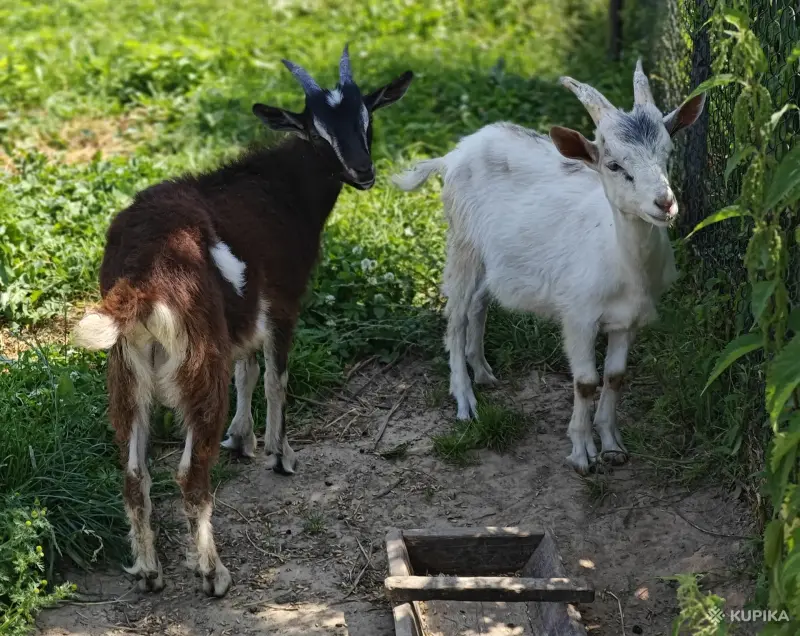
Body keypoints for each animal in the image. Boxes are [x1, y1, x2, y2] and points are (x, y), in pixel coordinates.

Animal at [72, 46, 413, 596]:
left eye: (368, 118)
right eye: (317, 133)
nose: (364, 172)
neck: (279, 191)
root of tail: (143, 276)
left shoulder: (243, 315)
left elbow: (247, 370)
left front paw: (242, 437)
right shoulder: (284, 302)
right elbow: (275, 377)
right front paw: (279, 453)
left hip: (127, 368)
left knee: (133, 472)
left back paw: (149, 571)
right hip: (195, 359)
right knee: (190, 474)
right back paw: (213, 573)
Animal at [392, 60, 704, 475]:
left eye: (668, 153)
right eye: (614, 164)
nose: (664, 202)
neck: (622, 264)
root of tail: (455, 153)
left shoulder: (628, 320)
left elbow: (615, 377)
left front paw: (612, 445)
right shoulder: (578, 316)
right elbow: (586, 381)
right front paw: (582, 454)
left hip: (495, 257)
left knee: (479, 304)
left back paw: (484, 372)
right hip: (463, 242)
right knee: (456, 315)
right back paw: (465, 399)